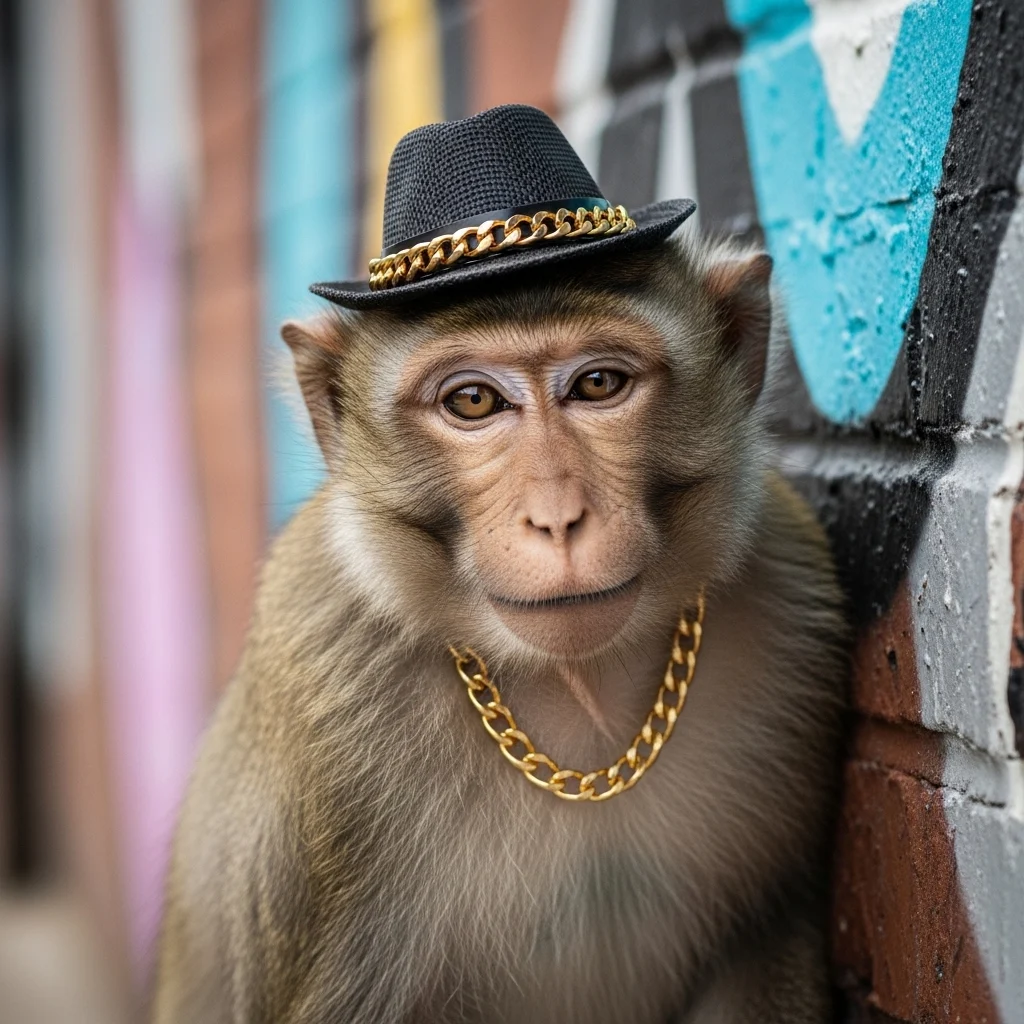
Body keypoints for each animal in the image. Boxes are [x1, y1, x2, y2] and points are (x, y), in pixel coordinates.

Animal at [153, 233, 847, 1024]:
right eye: (473, 400)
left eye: (599, 384)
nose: (557, 518)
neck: (580, 691)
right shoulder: (321, 682)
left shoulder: (794, 595)